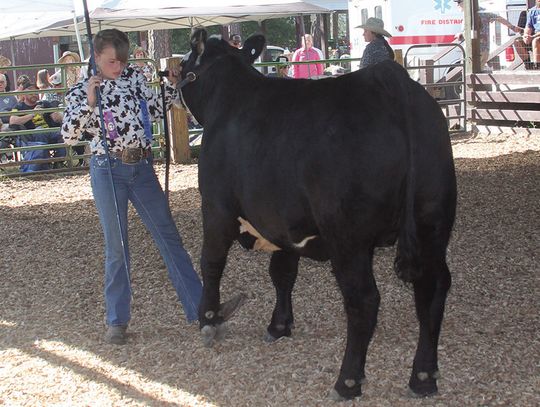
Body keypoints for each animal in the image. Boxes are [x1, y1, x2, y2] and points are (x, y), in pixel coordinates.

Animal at [180, 29, 456, 402]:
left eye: (184, 63)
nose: (167, 73)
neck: (229, 98)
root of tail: (389, 81)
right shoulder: (283, 222)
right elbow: (282, 272)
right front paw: (279, 325)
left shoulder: (217, 207)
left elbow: (211, 262)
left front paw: (208, 318)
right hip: (433, 221)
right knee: (433, 289)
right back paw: (423, 377)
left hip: (348, 237)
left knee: (363, 300)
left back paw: (348, 381)